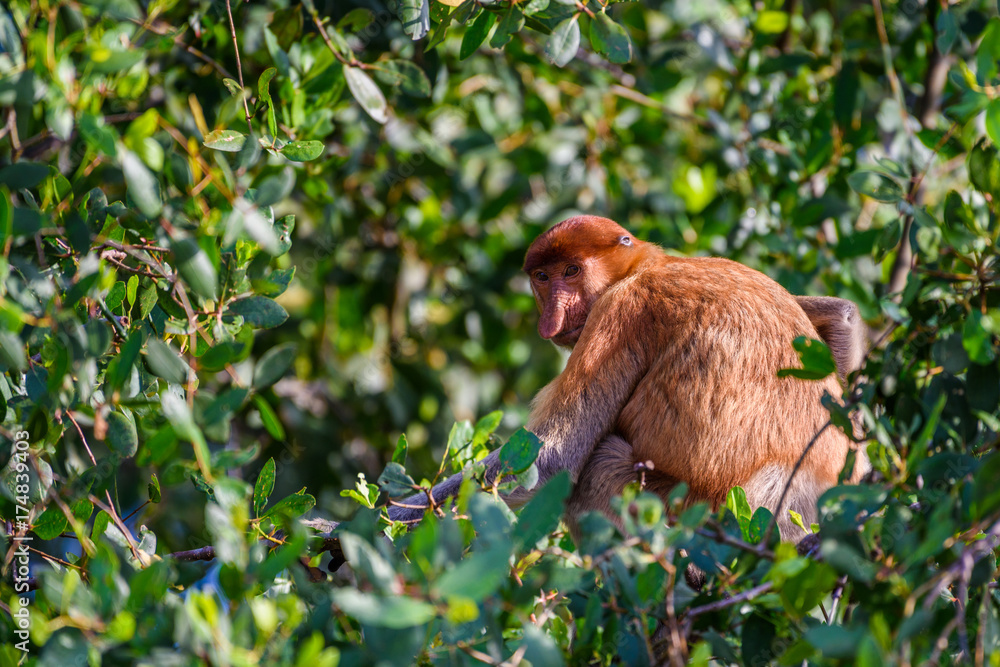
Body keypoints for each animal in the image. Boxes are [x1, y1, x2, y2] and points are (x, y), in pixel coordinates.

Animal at [387, 216, 869, 541]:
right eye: (542, 277)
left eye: (572, 271)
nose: (551, 316)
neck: (644, 267)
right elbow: (841, 314)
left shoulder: (618, 311)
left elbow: (552, 461)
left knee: (596, 467)